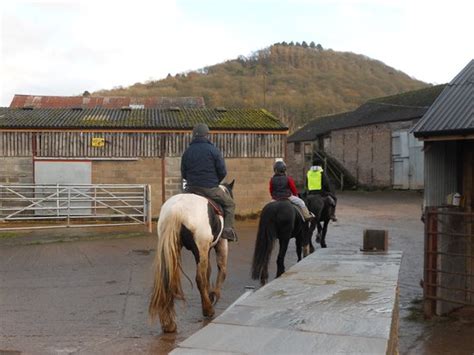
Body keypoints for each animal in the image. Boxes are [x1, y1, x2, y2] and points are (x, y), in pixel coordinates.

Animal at [149, 181, 234, 334]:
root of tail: (176, 210)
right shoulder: (220, 243)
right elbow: (221, 269)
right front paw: (213, 295)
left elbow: (209, 271)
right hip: (200, 247)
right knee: (200, 278)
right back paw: (208, 309)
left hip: (172, 248)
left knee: (168, 278)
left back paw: (169, 324)